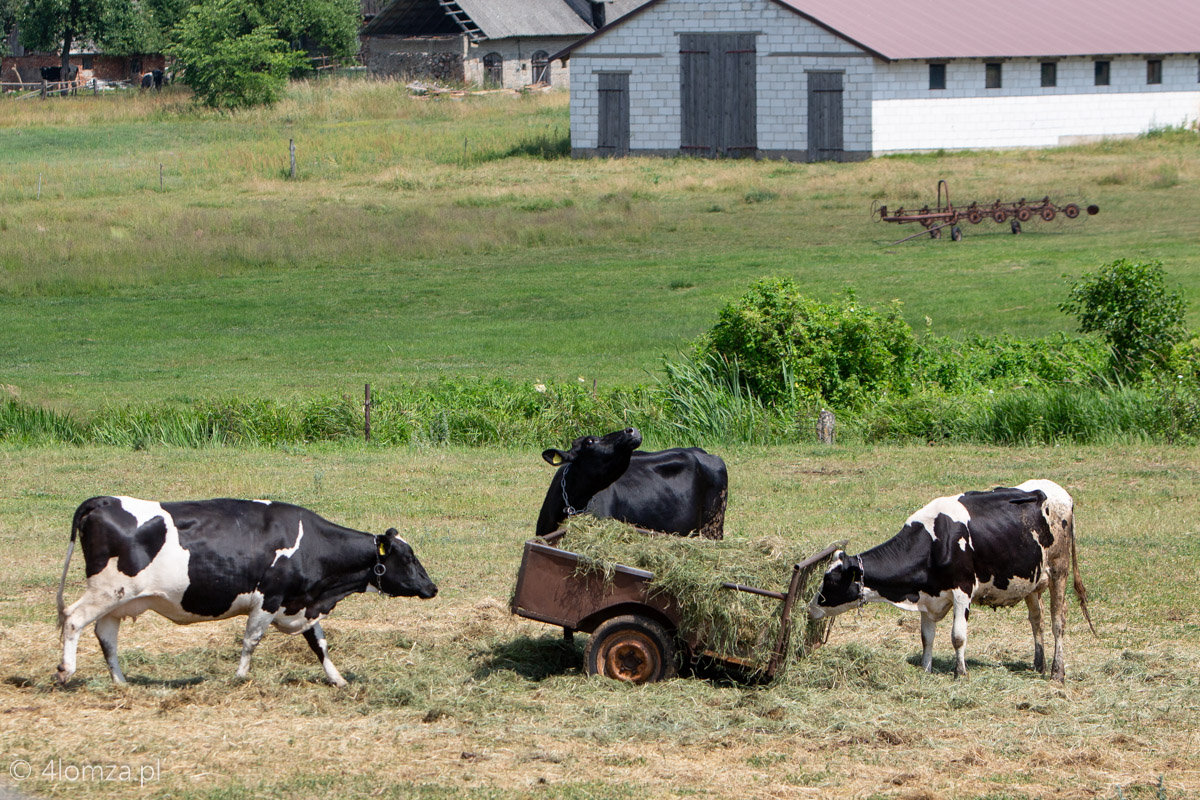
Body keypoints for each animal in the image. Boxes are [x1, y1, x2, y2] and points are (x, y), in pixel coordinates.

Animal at [56, 496, 439, 686]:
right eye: (408, 557)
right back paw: (66, 671)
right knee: (73, 619)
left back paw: (121, 682)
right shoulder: (269, 598)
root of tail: (103, 500)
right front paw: (240, 677)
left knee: (106, 635)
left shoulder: (301, 602)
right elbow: (251, 640)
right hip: (107, 590)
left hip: (120, 599)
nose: (432, 587)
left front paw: (338, 679)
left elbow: (320, 644)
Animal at [806, 482, 1099, 681]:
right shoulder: (928, 598)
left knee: (1058, 620)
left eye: (830, 580)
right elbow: (926, 637)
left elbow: (957, 636)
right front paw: (926, 669)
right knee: (1037, 619)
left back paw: (1057, 671)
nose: (810, 608)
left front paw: (960, 673)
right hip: (1031, 580)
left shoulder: (962, 591)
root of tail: (1061, 492)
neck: (934, 541)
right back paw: (1039, 663)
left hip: (1059, 571)